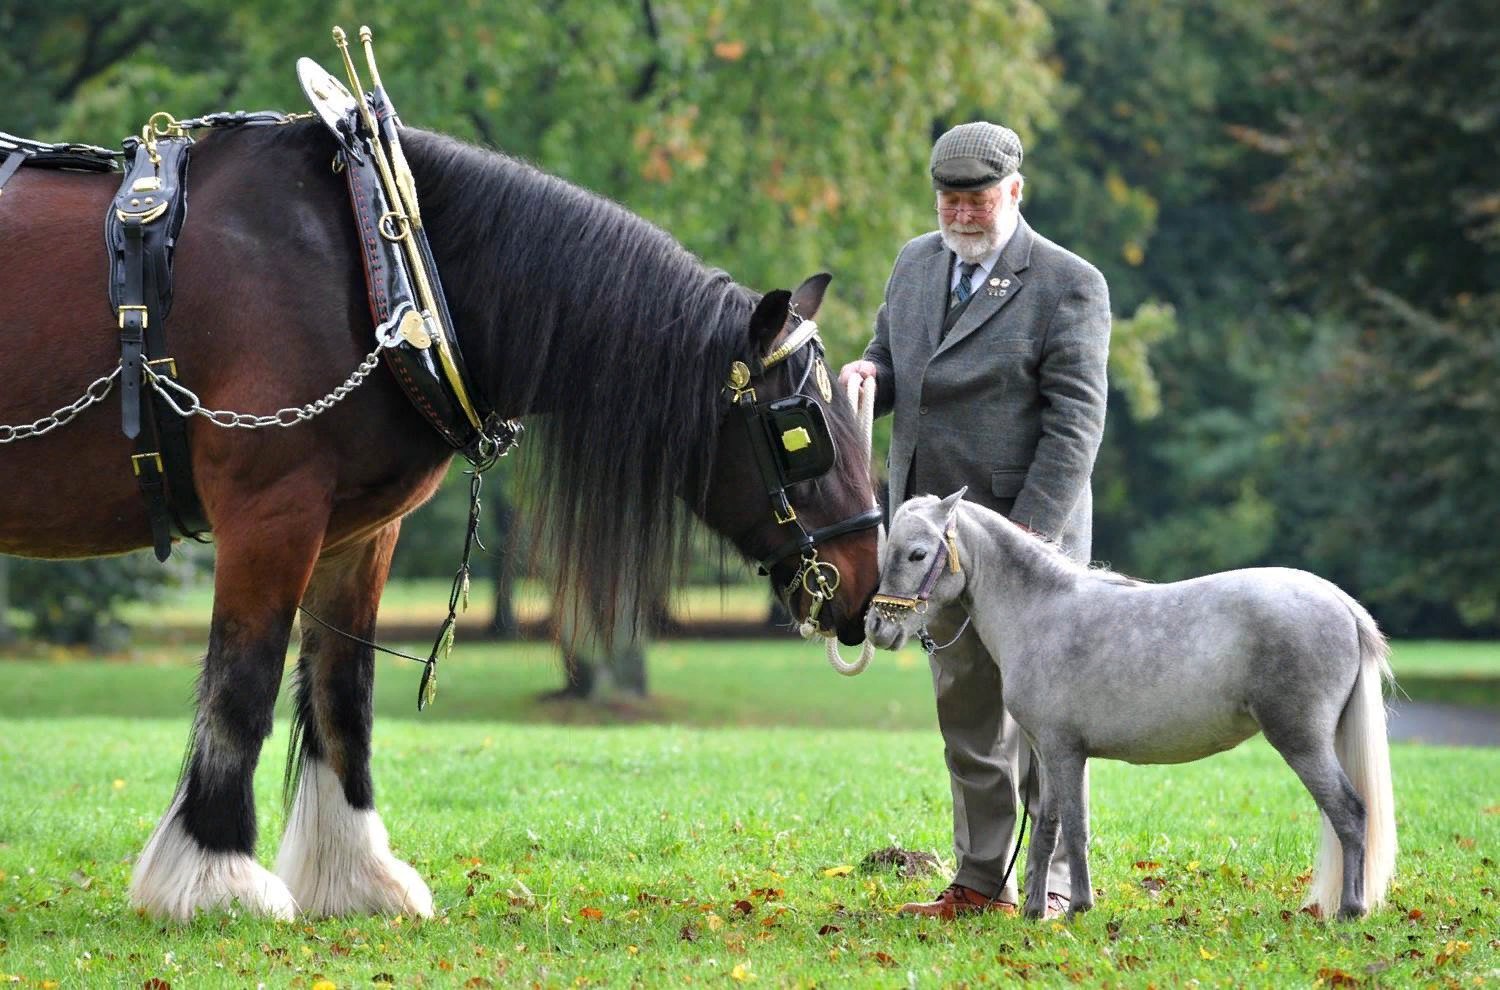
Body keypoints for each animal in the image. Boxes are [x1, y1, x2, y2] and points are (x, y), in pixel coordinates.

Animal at [0, 121, 876, 918]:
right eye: (801, 429)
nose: (866, 582)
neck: (381, 261)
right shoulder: (269, 510)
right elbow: (243, 684)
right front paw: (216, 876)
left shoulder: (356, 533)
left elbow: (342, 692)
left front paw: (355, 876)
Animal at [870, 492, 1392, 918]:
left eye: (917, 553)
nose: (877, 628)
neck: (1039, 611)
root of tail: (1339, 602)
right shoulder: (1049, 753)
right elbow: (1047, 828)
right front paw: (1038, 912)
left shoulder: (1065, 752)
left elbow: (1073, 828)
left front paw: (1076, 908)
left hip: (1302, 742)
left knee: (1350, 814)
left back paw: (1351, 912)